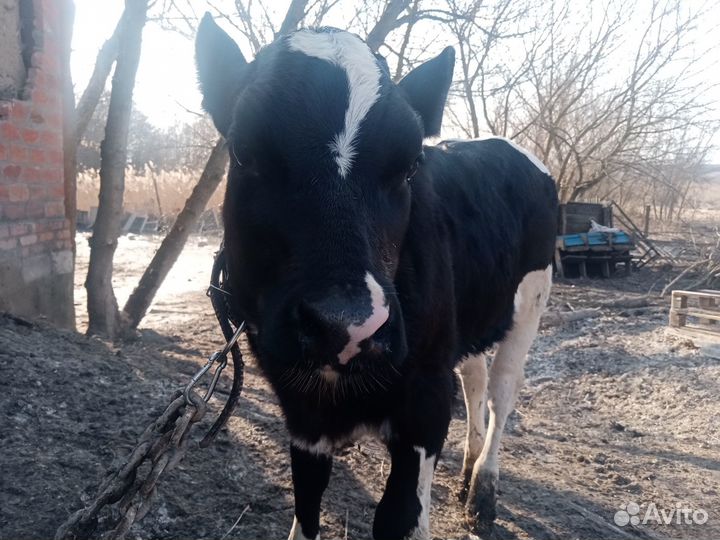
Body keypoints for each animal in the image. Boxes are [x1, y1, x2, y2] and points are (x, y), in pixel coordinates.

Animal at [195, 14, 558, 540]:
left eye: (410, 167)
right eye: (244, 152)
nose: (346, 326)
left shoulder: (426, 401)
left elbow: (398, 517)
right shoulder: (301, 411)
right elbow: (306, 508)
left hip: (531, 299)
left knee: (502, 389)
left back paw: (482, 493)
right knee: (474, 378)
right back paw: (467, 471)